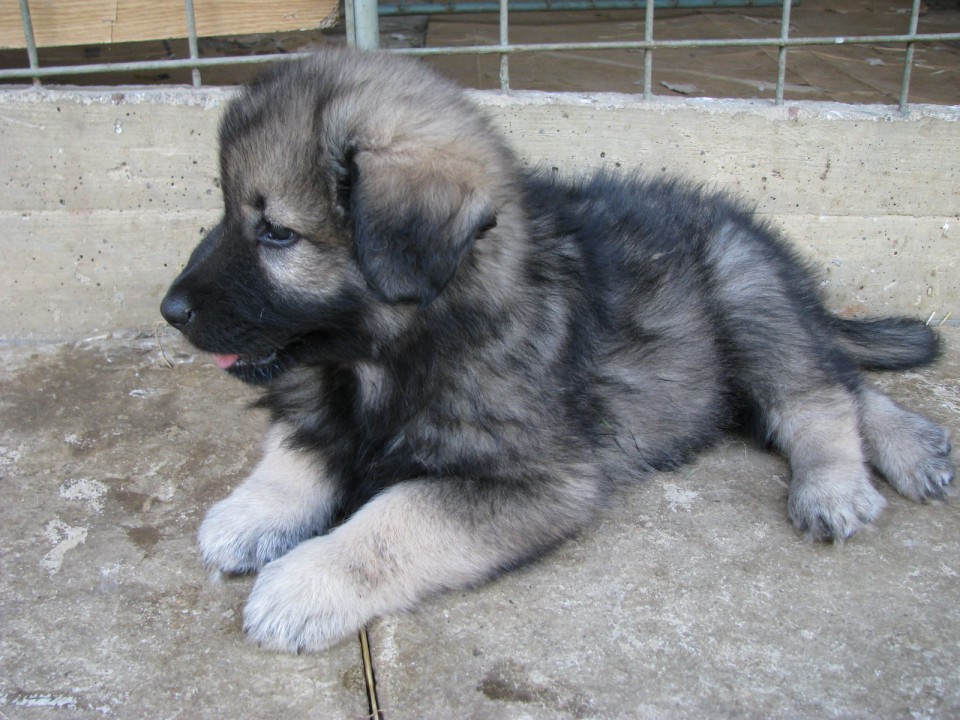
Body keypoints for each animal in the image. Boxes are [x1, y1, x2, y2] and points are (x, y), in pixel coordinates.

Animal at [159, 46, 952, 652]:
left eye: (277, 233)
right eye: (228, 211)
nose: (171, 311)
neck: (392, 356)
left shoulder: (537, 479)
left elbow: (394, 520)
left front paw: (303, 584)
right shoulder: (328, 405)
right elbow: (299, 450)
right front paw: (250, 514)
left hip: (745, 289)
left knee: (818, 392)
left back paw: (839, 483)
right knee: (845, 378)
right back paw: (913, 445)